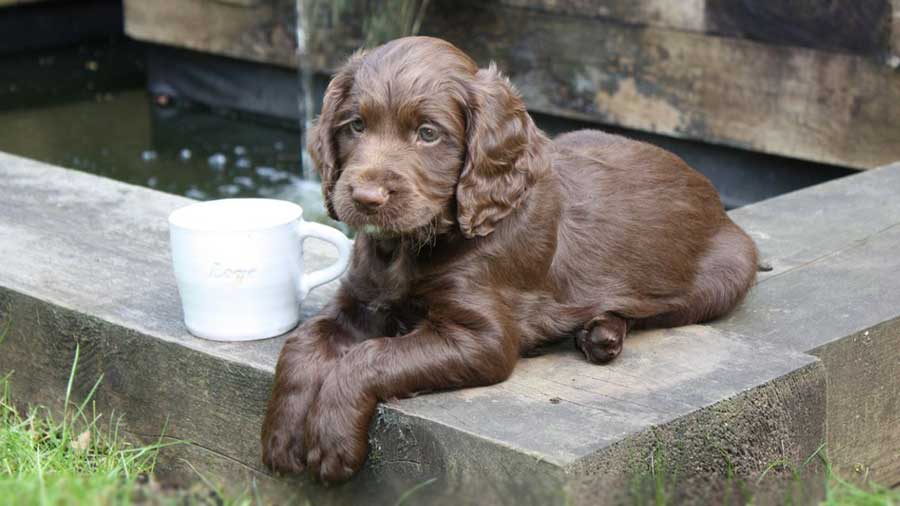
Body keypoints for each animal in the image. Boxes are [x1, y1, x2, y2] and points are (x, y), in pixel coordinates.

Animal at [262, 36, 760, 482]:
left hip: (724, 275)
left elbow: (371, 356)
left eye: (428, 133)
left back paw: (601, 332)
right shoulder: (360, 299)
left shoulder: (482, 338)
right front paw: (283, 435)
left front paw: (330, 440)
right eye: (356, 126)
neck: (410, 248)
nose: (365, 198)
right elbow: (301, 342)